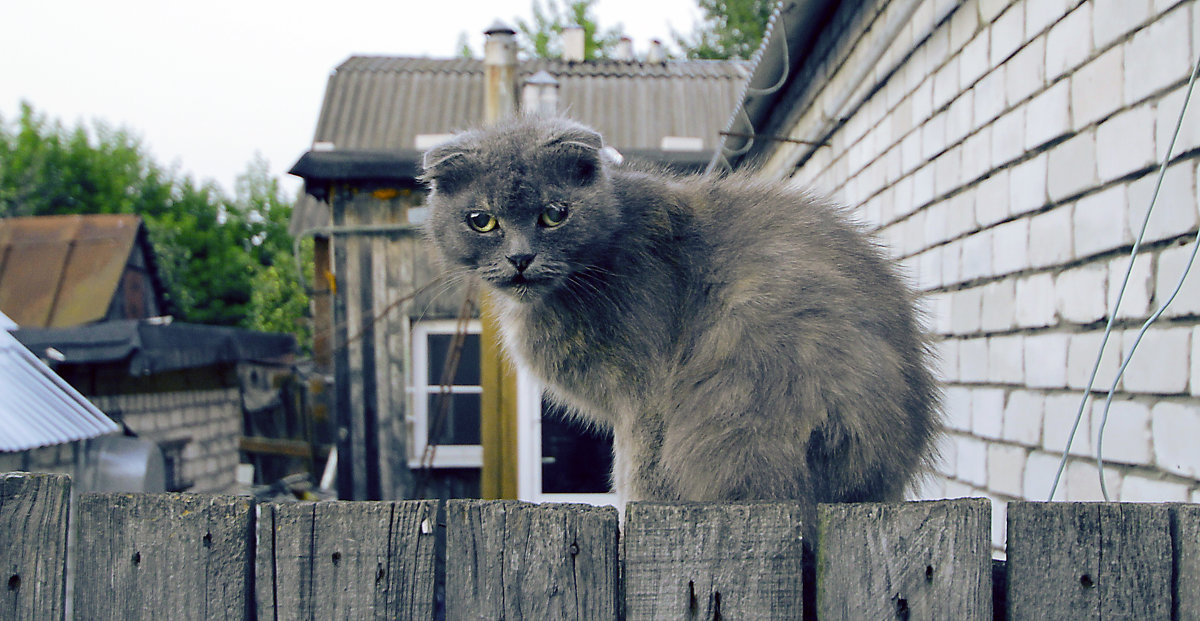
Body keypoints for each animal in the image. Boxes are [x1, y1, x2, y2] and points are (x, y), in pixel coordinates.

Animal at [427, 115, 940, 525]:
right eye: (481, 220)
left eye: (555, 214)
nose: (520, 258)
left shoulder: (645, 392)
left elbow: (638, 468)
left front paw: (633, 512)